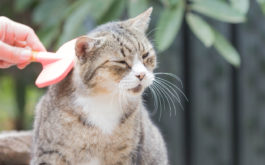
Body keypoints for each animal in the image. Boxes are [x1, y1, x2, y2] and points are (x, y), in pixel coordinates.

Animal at [30, 8, 167, 165]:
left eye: (145, 55)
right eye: (121, 62)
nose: (142, 74)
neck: (104, 99)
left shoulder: (126, 155)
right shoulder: (49, 152)